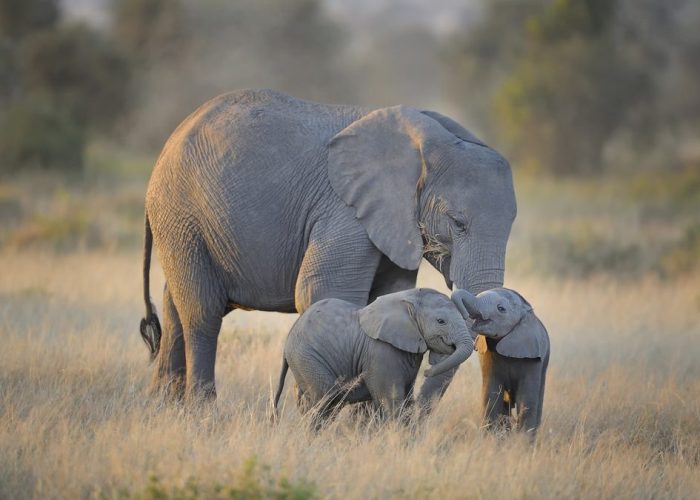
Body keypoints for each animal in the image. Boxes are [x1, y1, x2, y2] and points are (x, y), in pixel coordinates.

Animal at [139, 89, 516, 402]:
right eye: (457, 223)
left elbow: (387, 296)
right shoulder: (344, 210)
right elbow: (324, 291)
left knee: (175, 305)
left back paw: (163, 408)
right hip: (181, 214)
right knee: (202, 312)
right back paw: (202, 413)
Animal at [274, 290, 476, 426]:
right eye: (441, 321)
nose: (428, 371)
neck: (408, 298)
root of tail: (288, 339)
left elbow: (407, 400)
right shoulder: (381, 352)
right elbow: (392, 400)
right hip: (307, 357)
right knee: (325, 399)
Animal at [452, 288, 548, 436]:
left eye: (501, 309)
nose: (464, 315)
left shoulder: (533, 359)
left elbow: (527, 401)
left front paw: (522, 442)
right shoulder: (488, 356)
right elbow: (491, 396)